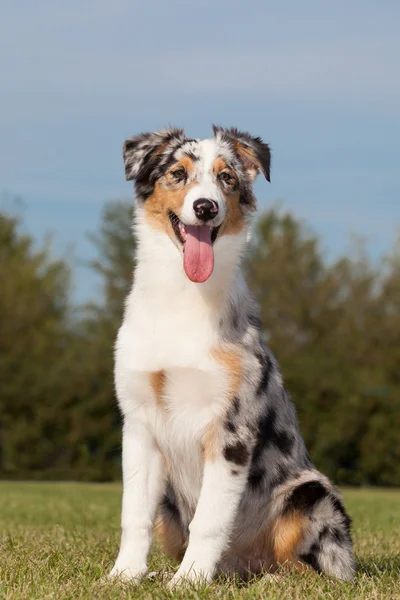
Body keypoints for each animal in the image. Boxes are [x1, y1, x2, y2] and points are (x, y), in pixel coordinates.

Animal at [109, 126, 356, 584]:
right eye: (177, 173)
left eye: (226, 178)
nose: (205, 207)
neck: (183, 297)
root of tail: (240, 567)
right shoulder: (139, 424)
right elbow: (133, 513)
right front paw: (125, 575)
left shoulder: (231, 430)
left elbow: (208, 520)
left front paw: (187, 582)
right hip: (170, 506)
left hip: (312, 493)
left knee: (317, 569)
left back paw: (271, 579)